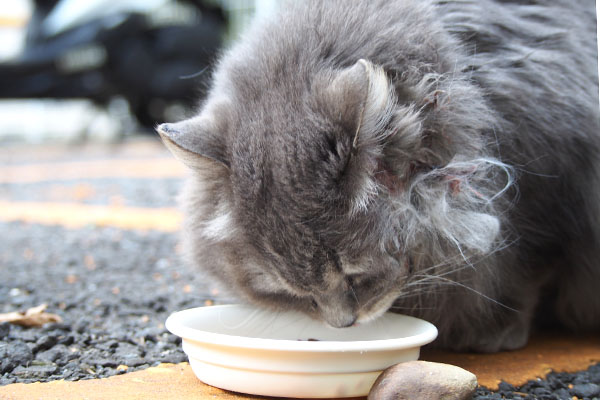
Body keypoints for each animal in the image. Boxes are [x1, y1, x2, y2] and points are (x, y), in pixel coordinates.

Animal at [158, 0, 600, 350]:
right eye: (290, 293)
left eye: (356, 277)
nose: (343, 325)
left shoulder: (548, 196)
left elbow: (525, 275)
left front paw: (499, 331)